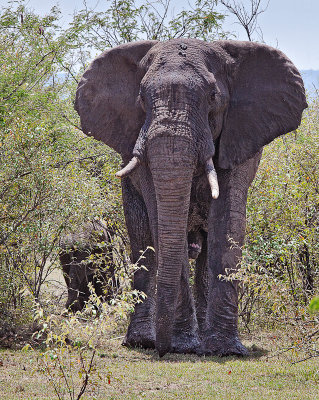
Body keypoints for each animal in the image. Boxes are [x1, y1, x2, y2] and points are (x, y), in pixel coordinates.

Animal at [75, 38, 308, 356]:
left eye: (212, 97)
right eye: (141, 98)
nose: (163, 350)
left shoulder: (239, 137)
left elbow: (227, 222)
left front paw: (224, 350)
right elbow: (160, 224)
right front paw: (183, 345)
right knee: (143, 242)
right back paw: (143, 341)